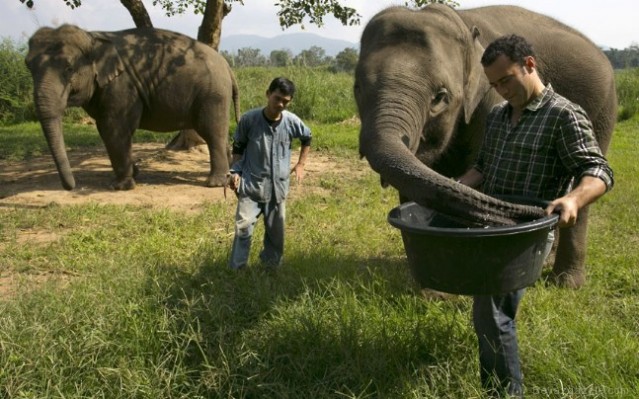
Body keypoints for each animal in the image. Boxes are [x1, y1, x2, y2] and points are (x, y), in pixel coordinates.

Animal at [24, 24, 240, 191]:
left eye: (69, 68)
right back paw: (230, 173)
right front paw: (134, 174)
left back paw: (215, 183)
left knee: (212, 132)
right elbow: (107, 130)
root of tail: (227, 66)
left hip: (213, 95)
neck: (93, 37)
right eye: (28, 67)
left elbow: (113, 128)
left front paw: (120, 186)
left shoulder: (121, 86)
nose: (71, 187)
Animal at [358, 4, 616, 290]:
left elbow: (482, 170)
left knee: (587, 177)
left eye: (440, 98)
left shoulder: (489, 101)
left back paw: (566, 282)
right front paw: (429, 290)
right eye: (357, 88)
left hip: (601, 111)